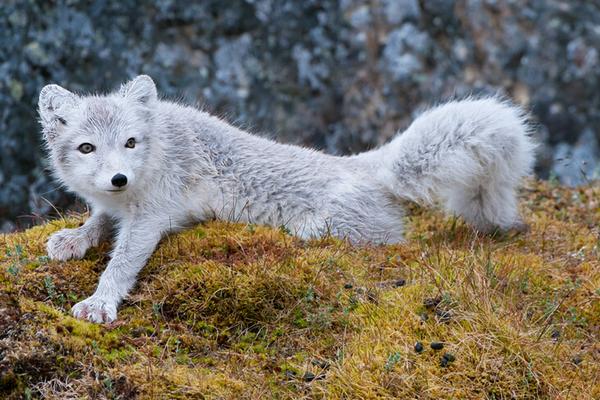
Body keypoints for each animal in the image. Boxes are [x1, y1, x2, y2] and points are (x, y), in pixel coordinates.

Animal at [36, 76, 536, 324]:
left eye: (131, 142)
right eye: (87, 148)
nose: (119, 177)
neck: (160, 145)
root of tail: (360, 166)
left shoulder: (154, 214)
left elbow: (121, 262)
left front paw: (101, 302)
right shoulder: (117, 205)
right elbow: (99, 219)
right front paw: (75, 238)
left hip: (329, 229)